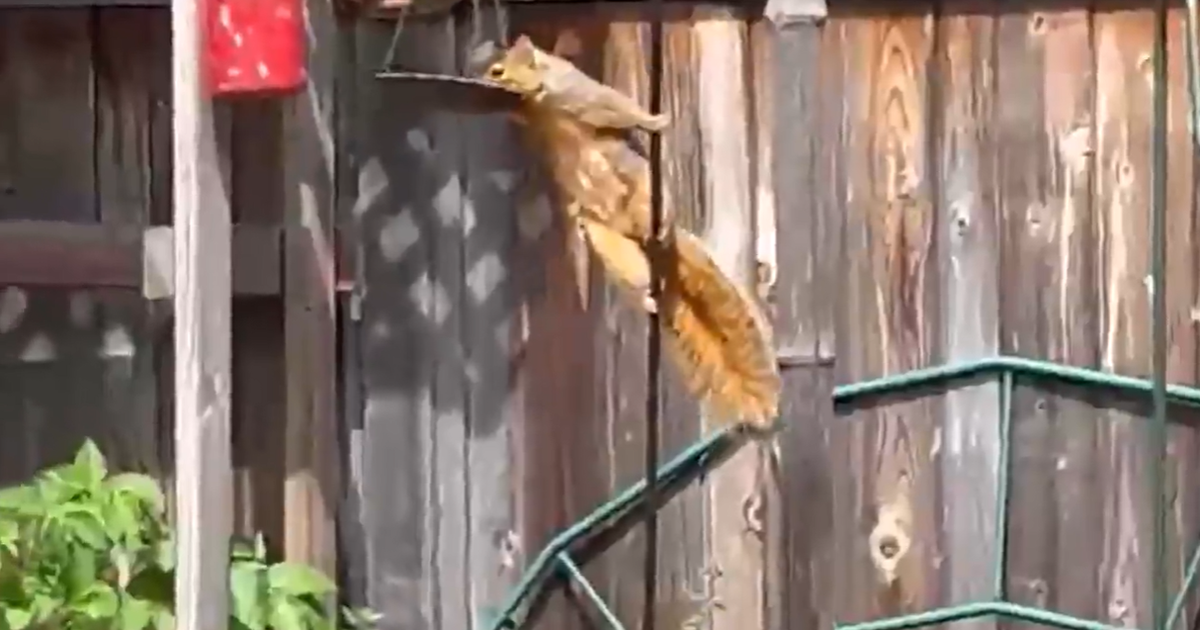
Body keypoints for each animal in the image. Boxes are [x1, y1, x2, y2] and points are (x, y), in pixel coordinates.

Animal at [476, 35, 781, 430]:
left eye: (498, 71)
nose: (482, 84)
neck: (541, 102)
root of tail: (655, 248)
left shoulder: (580, 94)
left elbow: (616, 108)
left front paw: (655, 121)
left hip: (640, 185)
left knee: (652, 208)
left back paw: (660, 226)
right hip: (614, 246)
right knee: (634, 272)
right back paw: (647, 297)